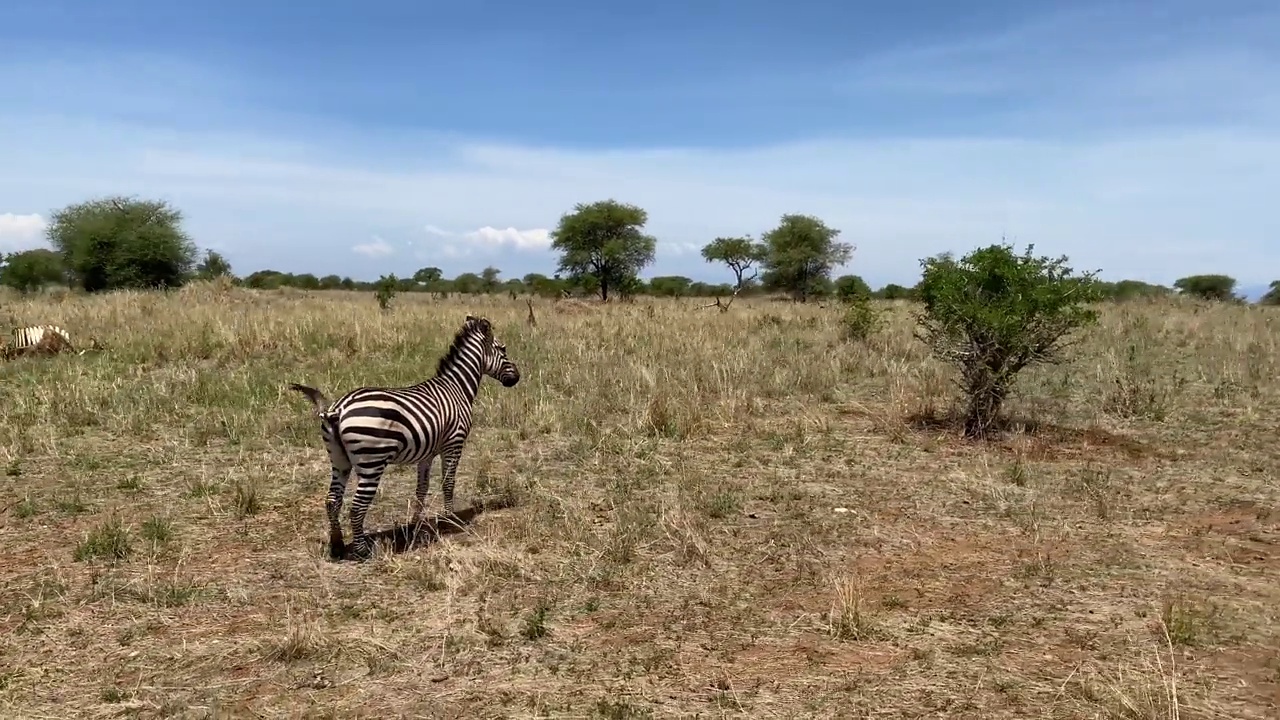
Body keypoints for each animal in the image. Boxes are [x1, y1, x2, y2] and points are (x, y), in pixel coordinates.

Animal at [290, 315, 519, 561]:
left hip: (339, 460)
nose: (517, 378)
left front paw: (415, 524)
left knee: (332, 501)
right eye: (503, 349)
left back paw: (337, 546)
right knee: (357, 507)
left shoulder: (428, 452)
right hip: (372, 462)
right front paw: (450, 520)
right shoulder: (454, 444)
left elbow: (422, 488)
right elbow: (448, 483)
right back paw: (363, 551)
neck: (457, 388)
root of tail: (338, 409)